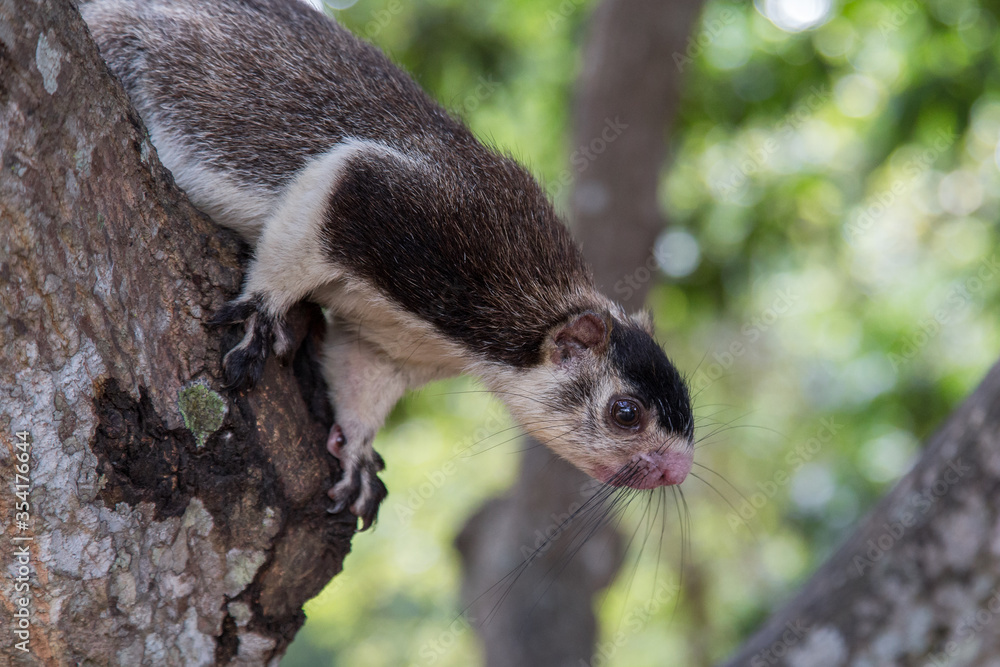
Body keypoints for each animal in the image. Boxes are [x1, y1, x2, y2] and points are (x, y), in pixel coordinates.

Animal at [82, 0, 694, 530]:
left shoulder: (389, 347)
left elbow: (362, 382)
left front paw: (356, 455)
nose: (677, 470)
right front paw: (263, 313)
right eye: (625, 412)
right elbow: (333, 190)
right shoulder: (415, 223)